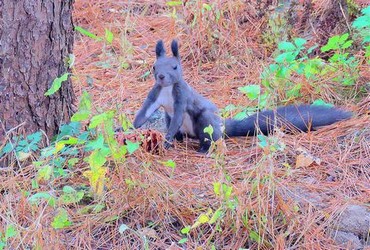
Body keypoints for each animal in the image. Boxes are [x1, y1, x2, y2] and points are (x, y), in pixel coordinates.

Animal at [134, 39, 352, 152]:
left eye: (175, 67)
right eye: (154, 66)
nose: (161, 76)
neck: (167, 89)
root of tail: (222, 126)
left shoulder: (182, 98)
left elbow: (179, 114)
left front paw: (167, 139)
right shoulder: (156, 95)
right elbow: (145, 111)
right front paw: (130, 127)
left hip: (205, 121)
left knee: (210, 138)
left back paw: (203, 148)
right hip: (168, 117)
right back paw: (178, 140)